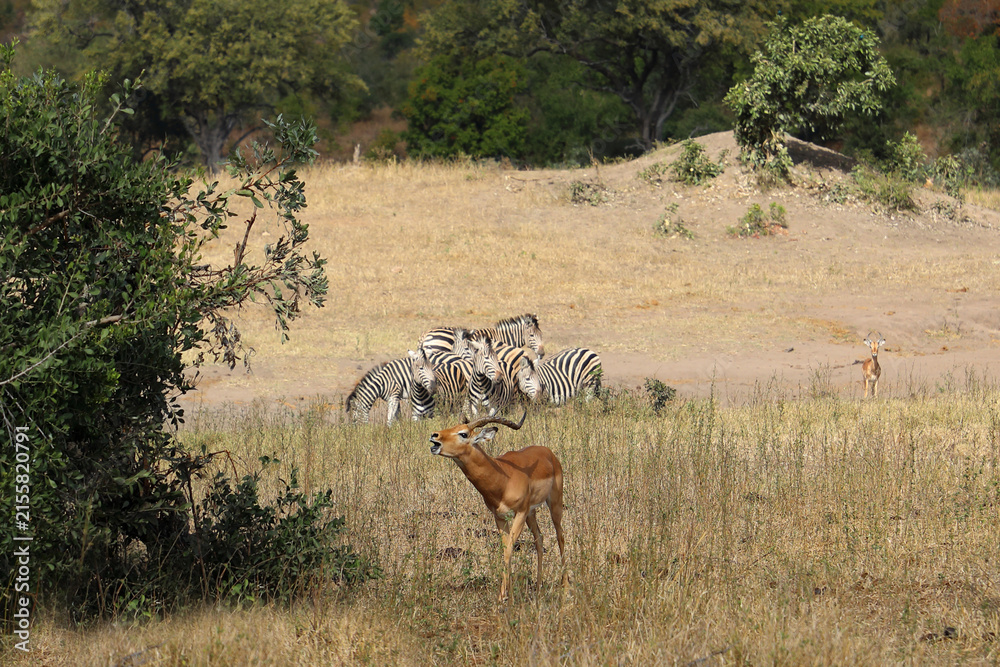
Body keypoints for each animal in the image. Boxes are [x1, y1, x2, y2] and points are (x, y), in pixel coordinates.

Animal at [428, 412, 567, 602]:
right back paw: (538, 587)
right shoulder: (499, 517)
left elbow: (509, 550)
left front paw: (503, 596)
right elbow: (505, 549)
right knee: (539, 538)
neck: (503, 479)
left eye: (463, 433)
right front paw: (507, 593)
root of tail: (548, 452)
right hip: (532, 513)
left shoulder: (520, 513)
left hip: (554, 503)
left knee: (560, 536)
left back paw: (565, 587)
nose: (435, 436)